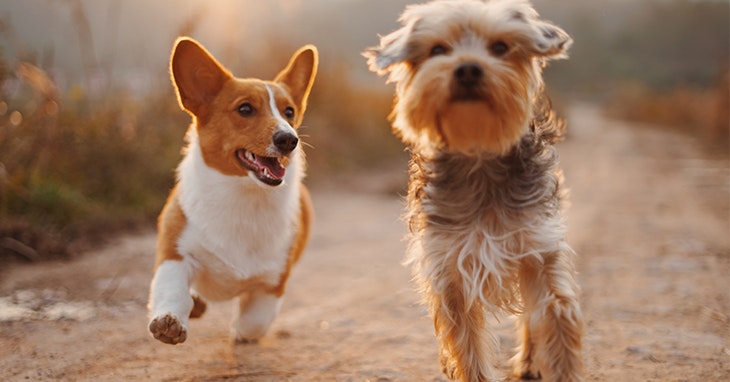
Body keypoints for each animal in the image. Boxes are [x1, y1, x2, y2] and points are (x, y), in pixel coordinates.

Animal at [147, 37, 316, 344]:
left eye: (289, 112)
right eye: (245, 109)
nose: (289, 139)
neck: (243, 196)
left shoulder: (272, 283)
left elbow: (254, 322)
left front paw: (239, 332)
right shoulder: (175, 254)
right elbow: (172, 290)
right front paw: (169, 321)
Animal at [366, 1, 584, 380]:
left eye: (500, 47)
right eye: (438, 49)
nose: (468, 68)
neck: (479, 153)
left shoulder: (538, 247)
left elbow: (556, 313)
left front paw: (560, 366)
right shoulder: (450, 267)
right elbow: (466, 344)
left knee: (531, 318)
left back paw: (529, 362)